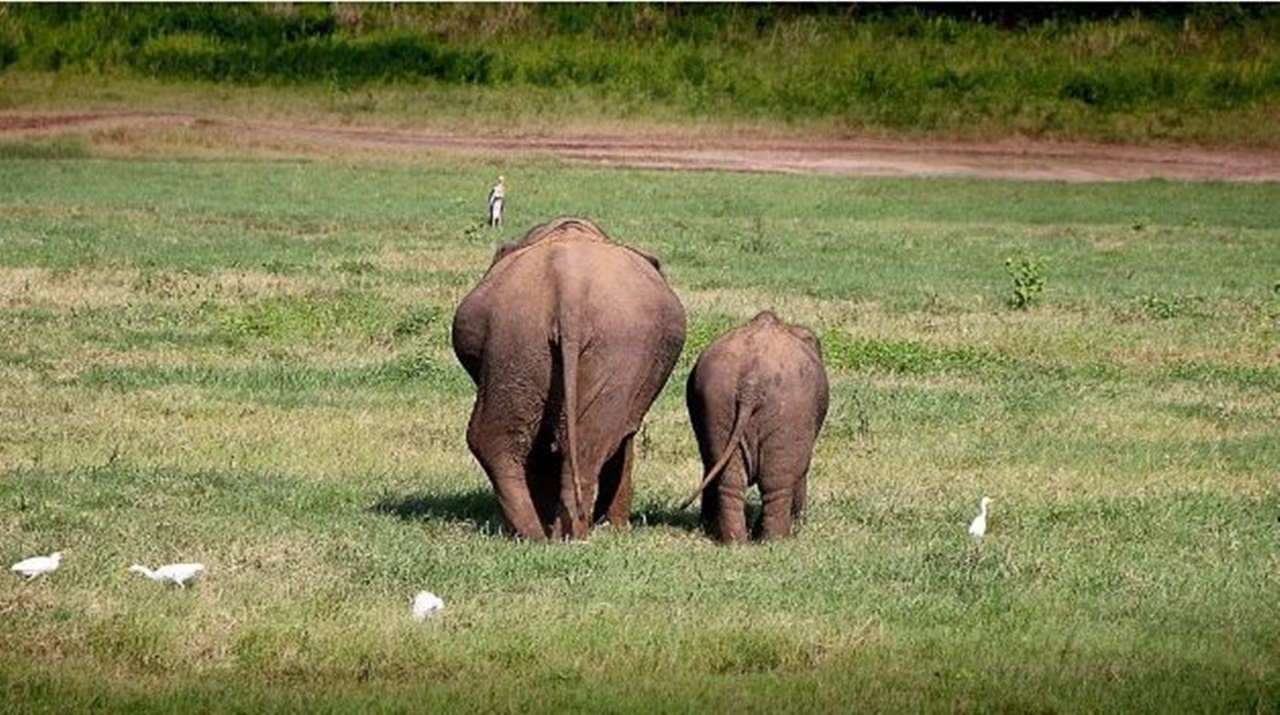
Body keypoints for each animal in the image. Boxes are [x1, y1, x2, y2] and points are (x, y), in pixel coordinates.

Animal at [453, 218, 686, 542]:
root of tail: (569, 288)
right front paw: (615, 528)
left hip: (517, 337)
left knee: (501, 438)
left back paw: (539, 535)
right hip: (603, 345)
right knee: (591, 439)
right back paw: (566, 534)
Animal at [680, 312, 829, 542]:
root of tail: (751, 382)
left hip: (717, 402)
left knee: (729, 480)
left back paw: (735, 542)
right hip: (791, 411)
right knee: (777, 484)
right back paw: (776, 540)